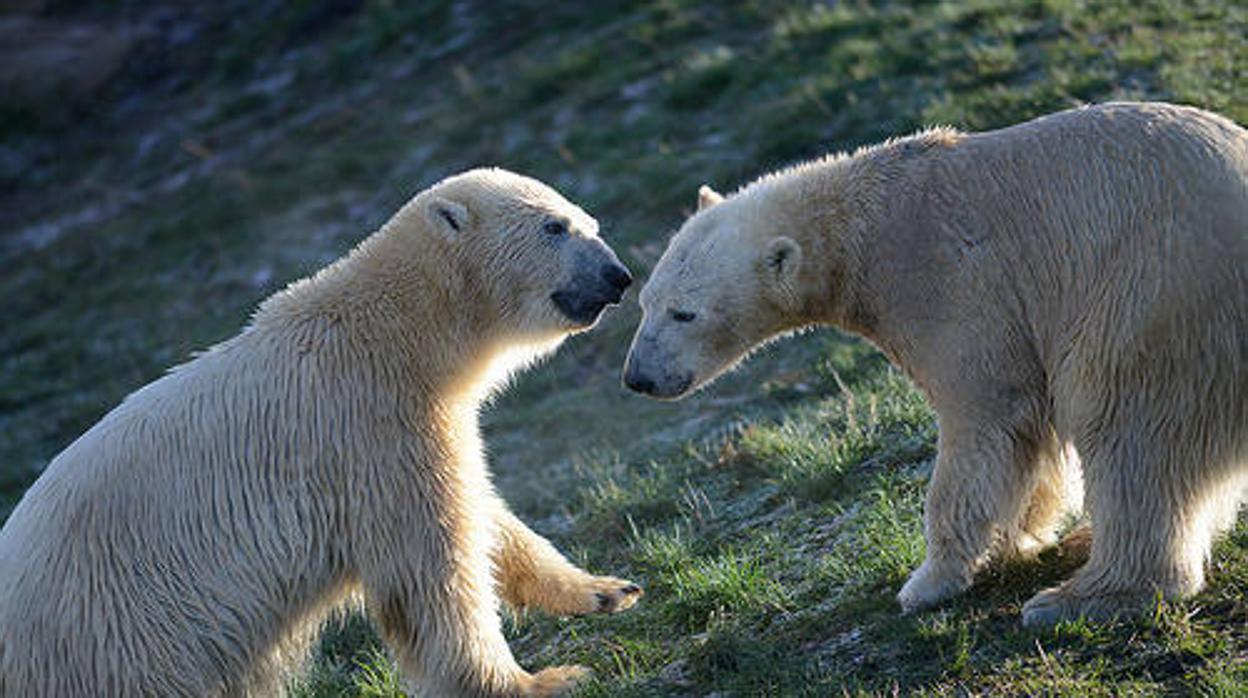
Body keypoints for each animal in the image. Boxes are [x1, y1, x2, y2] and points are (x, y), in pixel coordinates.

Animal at [0, 169, 643, 698]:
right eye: (554, 226)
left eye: (589, 221)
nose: (619, 276)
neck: (388, 335)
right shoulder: (368, 428)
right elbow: (432, 567)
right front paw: (544, 681)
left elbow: (483, 516)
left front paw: (605, 589)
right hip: (112, 634)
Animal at [624, 103, 1248, 629]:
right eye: (643, 299)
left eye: (684, 312)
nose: (639, 377)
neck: (862, 223)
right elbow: (1031, 441)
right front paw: (1022, 537)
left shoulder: (950, 279)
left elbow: (985, 416)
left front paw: (928, 583)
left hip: (1157, 291)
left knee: (1124, 424)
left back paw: (1080, 596)